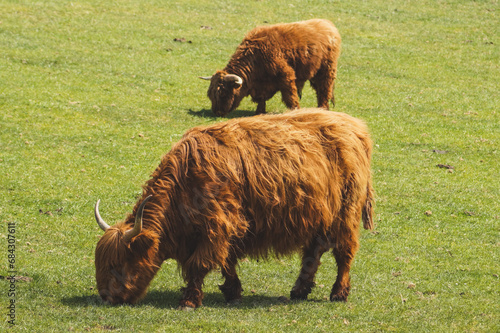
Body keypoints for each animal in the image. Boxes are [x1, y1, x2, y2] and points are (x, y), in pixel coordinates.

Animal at [94, 109, 376, 308]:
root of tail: (354, 126)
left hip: (346, 213)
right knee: (313, 253)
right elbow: (226, 261)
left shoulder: (217, 225)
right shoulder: (229, 226)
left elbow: (200, 263)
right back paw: (299, 291)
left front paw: (189, 301)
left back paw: (338, 293)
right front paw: (232, 292)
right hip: (319, 216)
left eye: (117, 264)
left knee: (344, 252)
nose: (105, 296)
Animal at [201, 18, 342, 116]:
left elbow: (290, 97)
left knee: (324, 90)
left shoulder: (286, 76)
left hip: (327, 70)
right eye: (210, 94)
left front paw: (296, 110)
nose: (217, 112)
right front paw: (259, 112)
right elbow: (261, 99)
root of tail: (328, 24)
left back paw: (323, 108)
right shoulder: (261, 86)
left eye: (223, 92)